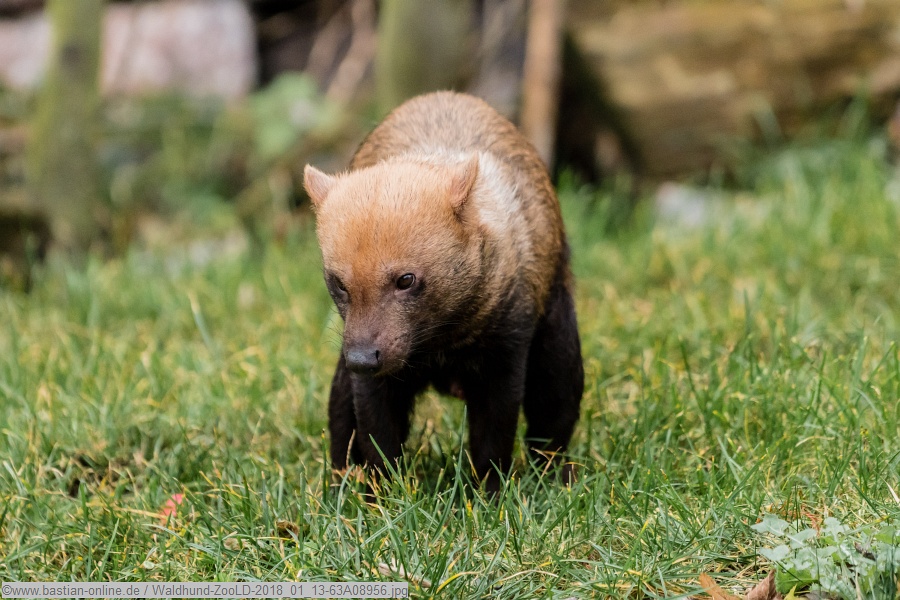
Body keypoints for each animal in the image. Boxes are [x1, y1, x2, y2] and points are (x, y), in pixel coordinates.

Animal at [303, 91, 583, 493]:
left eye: (406, 279)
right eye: (339, 283)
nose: (362, 358)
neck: (440, 342)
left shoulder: (506, 352)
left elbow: (493, 439)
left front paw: (487, 497)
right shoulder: (374, 377)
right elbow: (377, 438)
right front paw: (381, 499)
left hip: (557, 341)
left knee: (553, 420)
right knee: (341, 422)